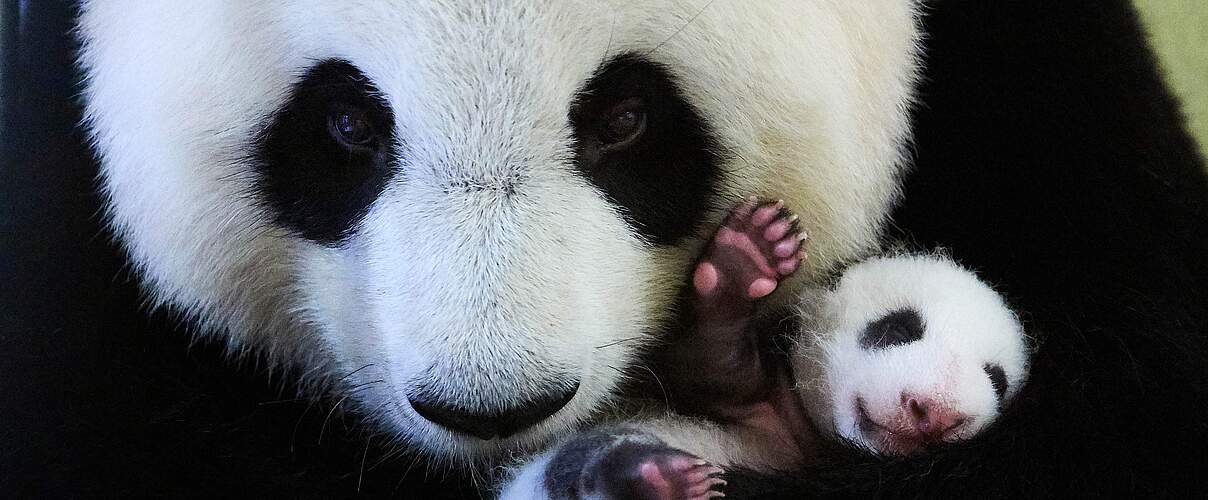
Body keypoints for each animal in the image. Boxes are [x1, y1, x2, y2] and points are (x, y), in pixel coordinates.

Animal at [504, 199, 1034, 500]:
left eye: (996, 379)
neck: (796, 432)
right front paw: (748, 255)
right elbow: (708, 363)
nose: (935, 412)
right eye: (898, 328)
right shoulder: (741, 397)